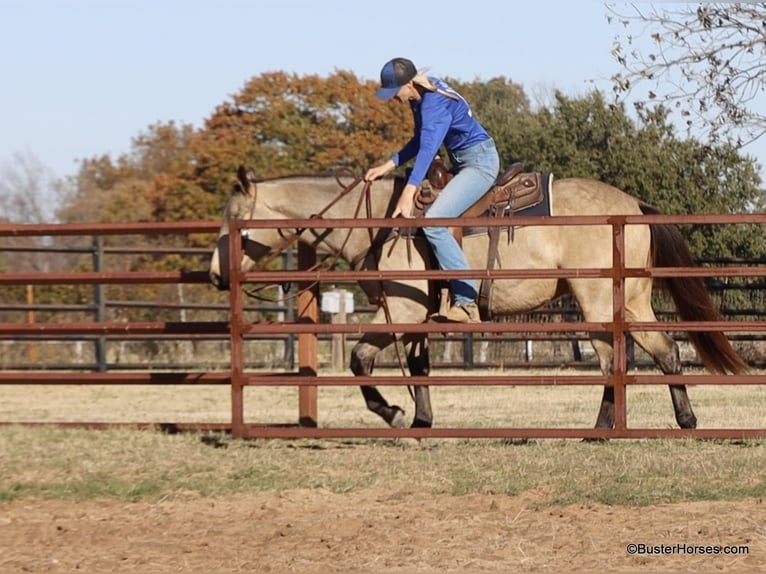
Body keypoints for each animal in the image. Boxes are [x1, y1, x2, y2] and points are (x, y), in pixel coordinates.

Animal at [209, 165, 748, 430]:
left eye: (234, 221)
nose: (215, 274)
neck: (379, 221)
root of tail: (632, 205)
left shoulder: (400, 312)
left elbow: (360, 359)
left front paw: (393, 413)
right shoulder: (418, 316)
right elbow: (419, 369)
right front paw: (422, 419)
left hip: (599, 300)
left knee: (622, 356)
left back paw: (613, 427)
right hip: (625, 300)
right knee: (657, 351)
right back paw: (675, 420)